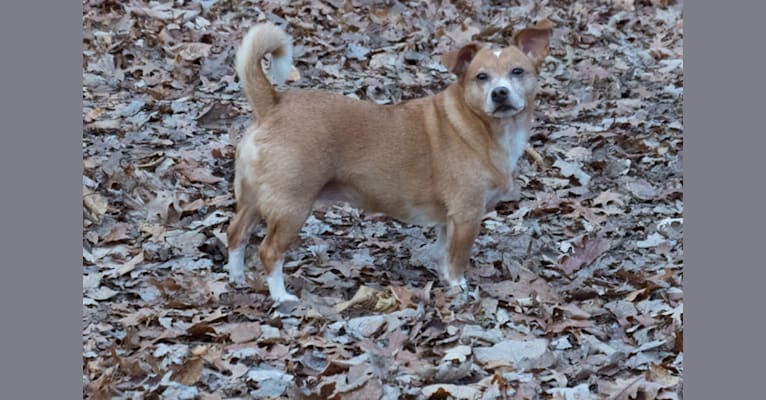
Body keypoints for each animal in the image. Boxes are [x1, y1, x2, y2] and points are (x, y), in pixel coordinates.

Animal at [225, 18, 556, 300]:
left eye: (517, 72)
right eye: (481, 77)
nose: (499, 93)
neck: (483, 128)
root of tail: (273, 104)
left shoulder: (448, 218)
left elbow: (441, 252)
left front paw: (442, 277)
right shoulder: (466, 215)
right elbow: (457, 259)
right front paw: (458, 288)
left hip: (254, 200)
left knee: (236, 234)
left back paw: (236, 278)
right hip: (292, 207)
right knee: (269, 251)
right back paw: (281, 297)